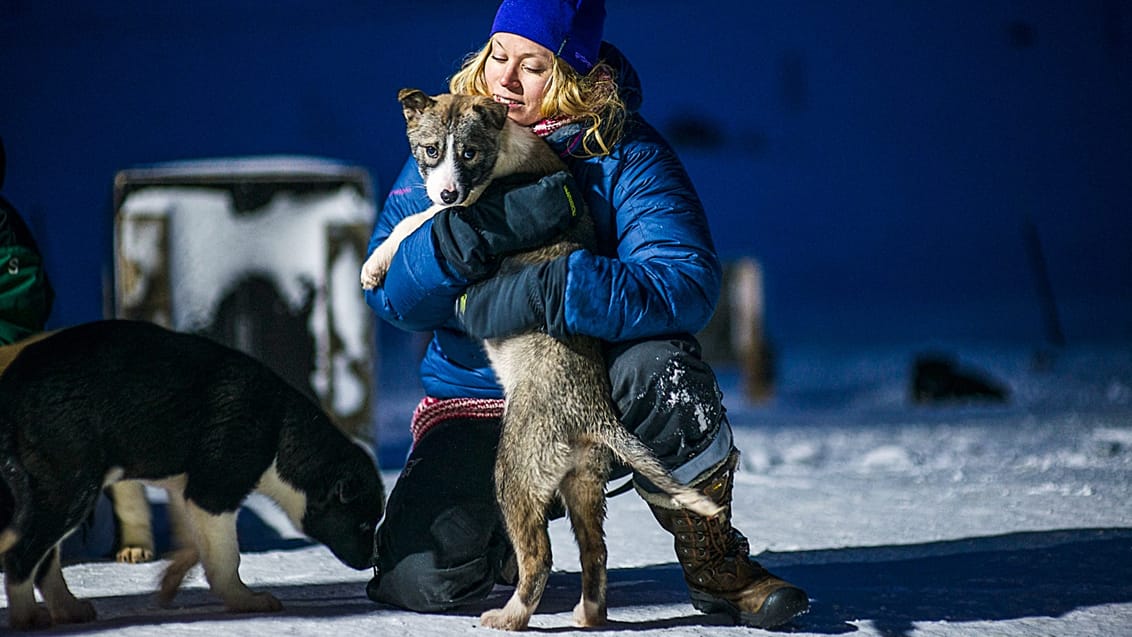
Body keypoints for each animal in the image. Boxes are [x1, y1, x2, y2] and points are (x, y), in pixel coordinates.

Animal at [0, 321, 384, 629]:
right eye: (363, 524)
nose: (372, 562)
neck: (279, 433)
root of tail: (13, 382)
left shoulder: (186, 490)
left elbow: (195, 548)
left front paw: (170, 582)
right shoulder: (213, 493)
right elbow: (227, 558)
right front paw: (244, 601)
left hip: (57, 491)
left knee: (45, 560)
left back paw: (67, 610)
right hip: (71, 488)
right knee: (22, 555)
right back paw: (28, 618)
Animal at [357, 87, 719, 629]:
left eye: (469, 152)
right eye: (430, 150)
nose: (447, 192)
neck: (506, 155)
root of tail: (594, 414)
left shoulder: (471, 206)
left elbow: (418, 222)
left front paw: (374, 265)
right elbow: (425, 219)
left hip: (517, 474)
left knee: (540, 557)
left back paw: (508, 617)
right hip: (583, 484)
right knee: (595, 553)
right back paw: (588, 614)